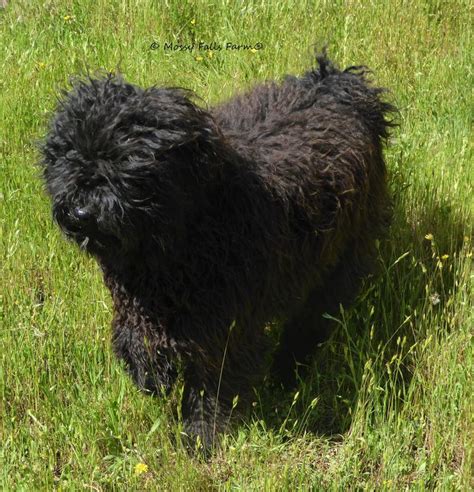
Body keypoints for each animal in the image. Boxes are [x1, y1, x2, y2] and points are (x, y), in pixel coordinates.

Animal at [40, 53, 394, 450]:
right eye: (66, 152)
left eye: (125, 157)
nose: (79, 212)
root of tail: (336, 85)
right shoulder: (141, 300)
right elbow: (136, 338)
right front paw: (151, 373)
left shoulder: (227, 324)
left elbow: (213, 386)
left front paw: (200, 437)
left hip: (341, 257)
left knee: (312, 321)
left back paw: (287, 372)